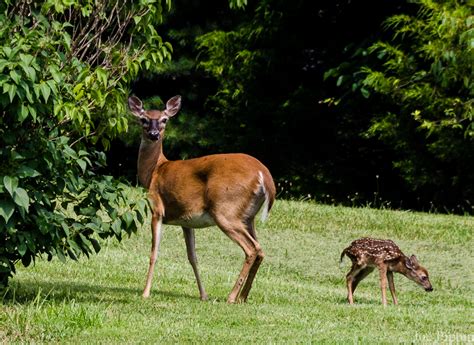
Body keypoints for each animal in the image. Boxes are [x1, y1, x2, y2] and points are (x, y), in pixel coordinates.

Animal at [128, 95, 276, 302]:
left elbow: (153, 254)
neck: (155, 171)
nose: (154, 134)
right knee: (260, 250)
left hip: (225, 211)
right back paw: (243, 297)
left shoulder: (157, 209)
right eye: (144, 119)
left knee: (251, 249)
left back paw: (231, 297)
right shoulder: (186, 221)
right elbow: (193, 257)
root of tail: (264, 175)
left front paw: (145, 293)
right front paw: (203, 295)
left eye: (164, 119)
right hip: (248, 217)